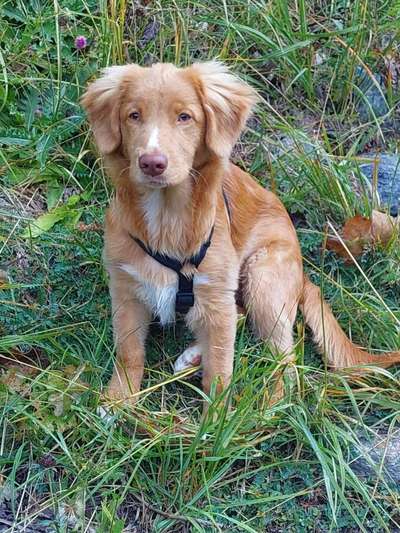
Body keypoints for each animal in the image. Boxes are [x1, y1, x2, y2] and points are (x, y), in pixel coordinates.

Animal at [81, 60, 400, 406]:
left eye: (185, 117)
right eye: (134, 115)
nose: (152, 163)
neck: (166, 218)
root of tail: (303, 273)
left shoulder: (216, 293)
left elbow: (219, 372)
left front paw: (216, 416)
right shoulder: (126, 290)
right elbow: (129, 354)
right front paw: (118, 400)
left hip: (263, 278)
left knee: (286, 362)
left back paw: (270, 405)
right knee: (243, 319)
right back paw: (195, 357)